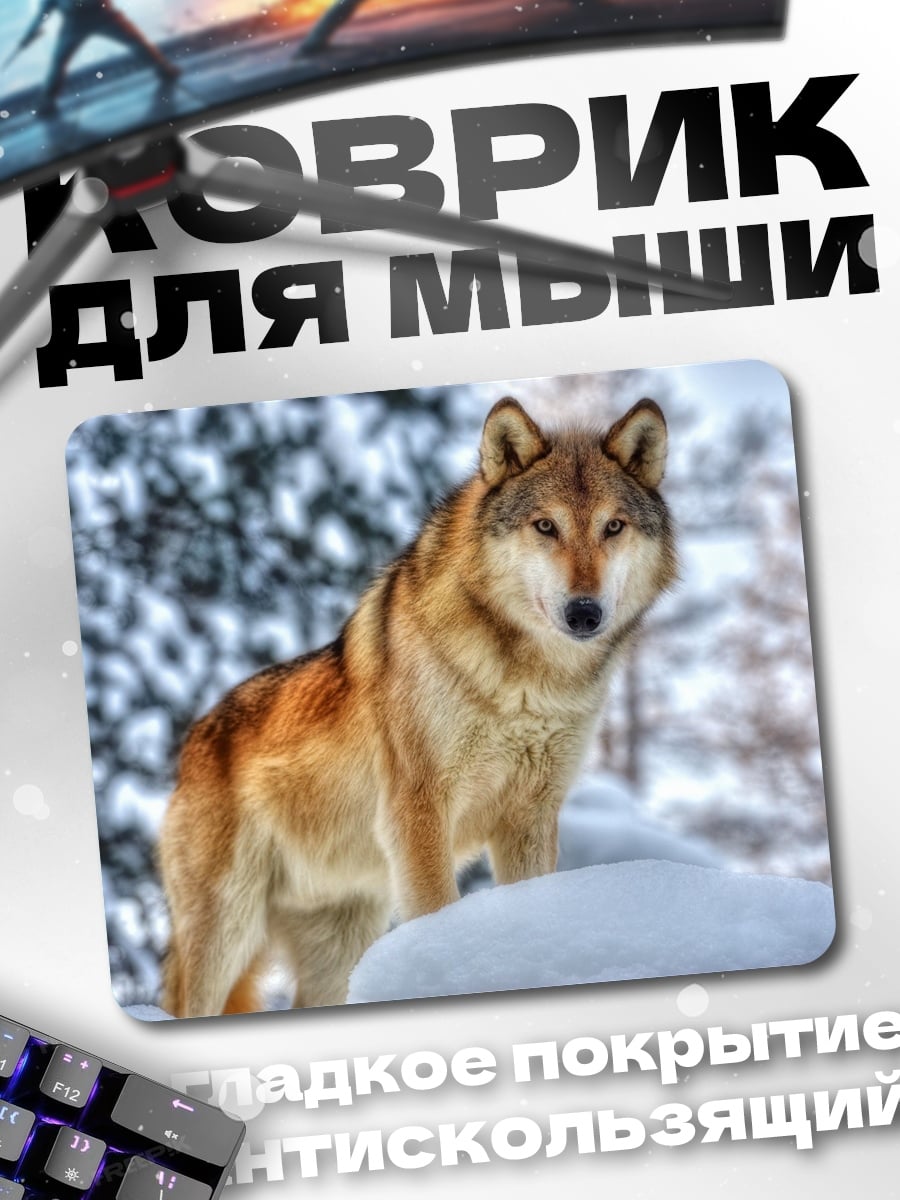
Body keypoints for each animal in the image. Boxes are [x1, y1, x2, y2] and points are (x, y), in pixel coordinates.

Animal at [158, 396, 677, 1017]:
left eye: (613, 527)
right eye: (546, 526)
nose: (584, 613)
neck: (529, 685)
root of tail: (192, 743)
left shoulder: (530, 815)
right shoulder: (420, 809)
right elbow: (435, 908)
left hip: (338, 945)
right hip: (226, 933)